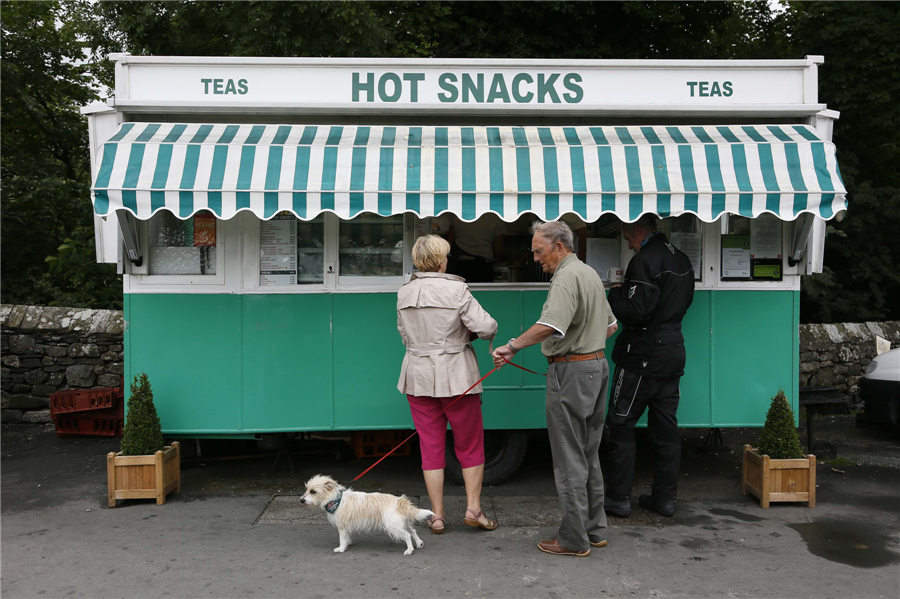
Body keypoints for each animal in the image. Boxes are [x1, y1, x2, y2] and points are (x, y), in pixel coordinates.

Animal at [300, 476, 434, 556]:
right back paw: (419, 543)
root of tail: (399, 501)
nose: (301, 500)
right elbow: (348, 536)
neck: (335, 499)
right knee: (413, 532)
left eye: (313, 491)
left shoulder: (342, 526)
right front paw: (349, 542)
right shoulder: (347, 525)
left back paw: (409, 550)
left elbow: (342, 538)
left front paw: (341, 548)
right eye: (306, 489)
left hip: (393, 526)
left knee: (407, 535)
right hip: (402, 523)